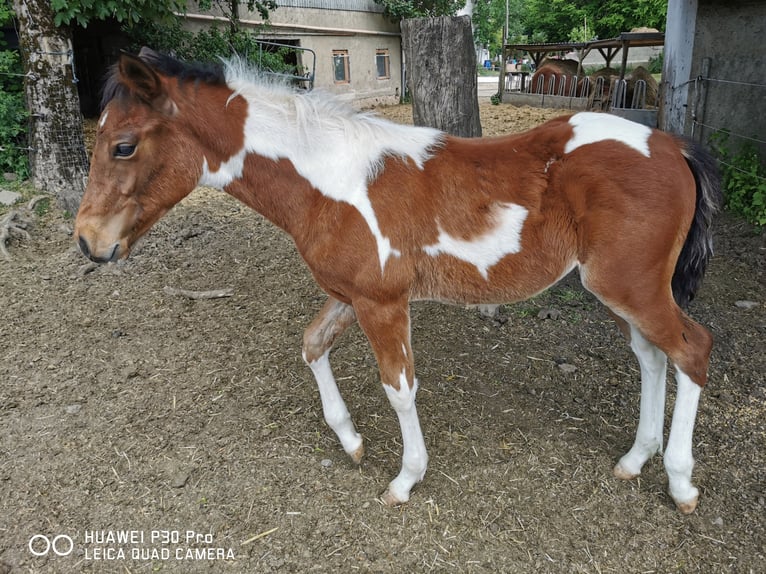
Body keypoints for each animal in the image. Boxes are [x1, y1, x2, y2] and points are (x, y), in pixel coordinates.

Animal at [74, 48, 721, 514]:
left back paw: (681, 484)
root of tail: (671, 144)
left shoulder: (383, 302)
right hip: (622, 290)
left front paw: (406, 479)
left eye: (123, 146)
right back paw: (635, 459)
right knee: (652, 355)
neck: (328, 179)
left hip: (629, 286)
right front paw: (351, 443)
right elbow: (311, 346)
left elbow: (400, 388)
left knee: (691, 349)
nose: (87, 241)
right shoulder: (349, 294)